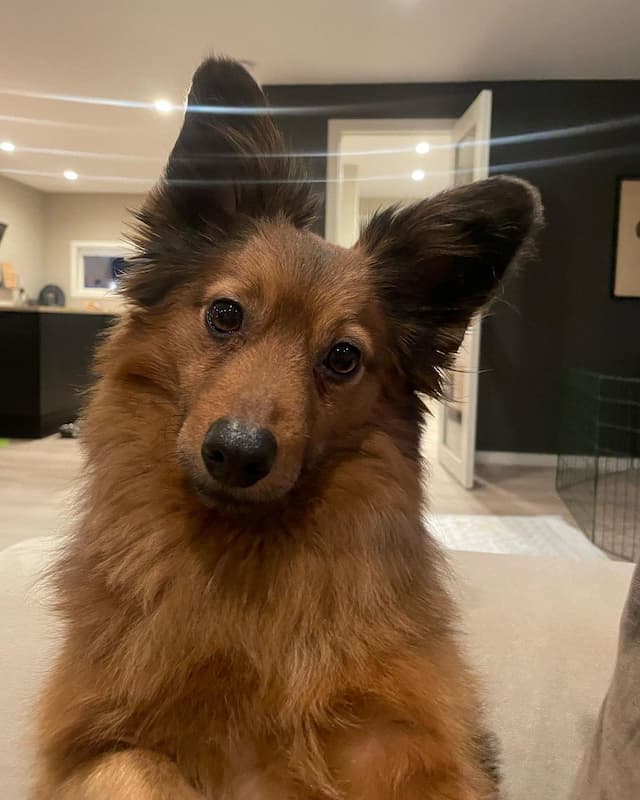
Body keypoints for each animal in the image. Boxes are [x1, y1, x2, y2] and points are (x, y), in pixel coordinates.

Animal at [30, 59, 540, 796]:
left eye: (343, 357)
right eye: (225, 314)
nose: (237, 455)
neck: (245, 561)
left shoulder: (415, 748)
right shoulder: (86, 747)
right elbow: (140, 762)